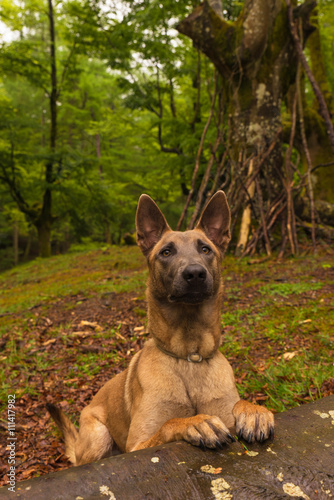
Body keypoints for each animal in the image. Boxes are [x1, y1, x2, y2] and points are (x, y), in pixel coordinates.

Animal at [49, 190, 274, 464]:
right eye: (166, 252)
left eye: (205, 249)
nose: (195, 273)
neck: (189, 357)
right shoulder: (137, 445)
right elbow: (170, 423)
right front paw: (196, 422)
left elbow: (240, 404)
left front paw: (254, 411)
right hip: (99, 438)